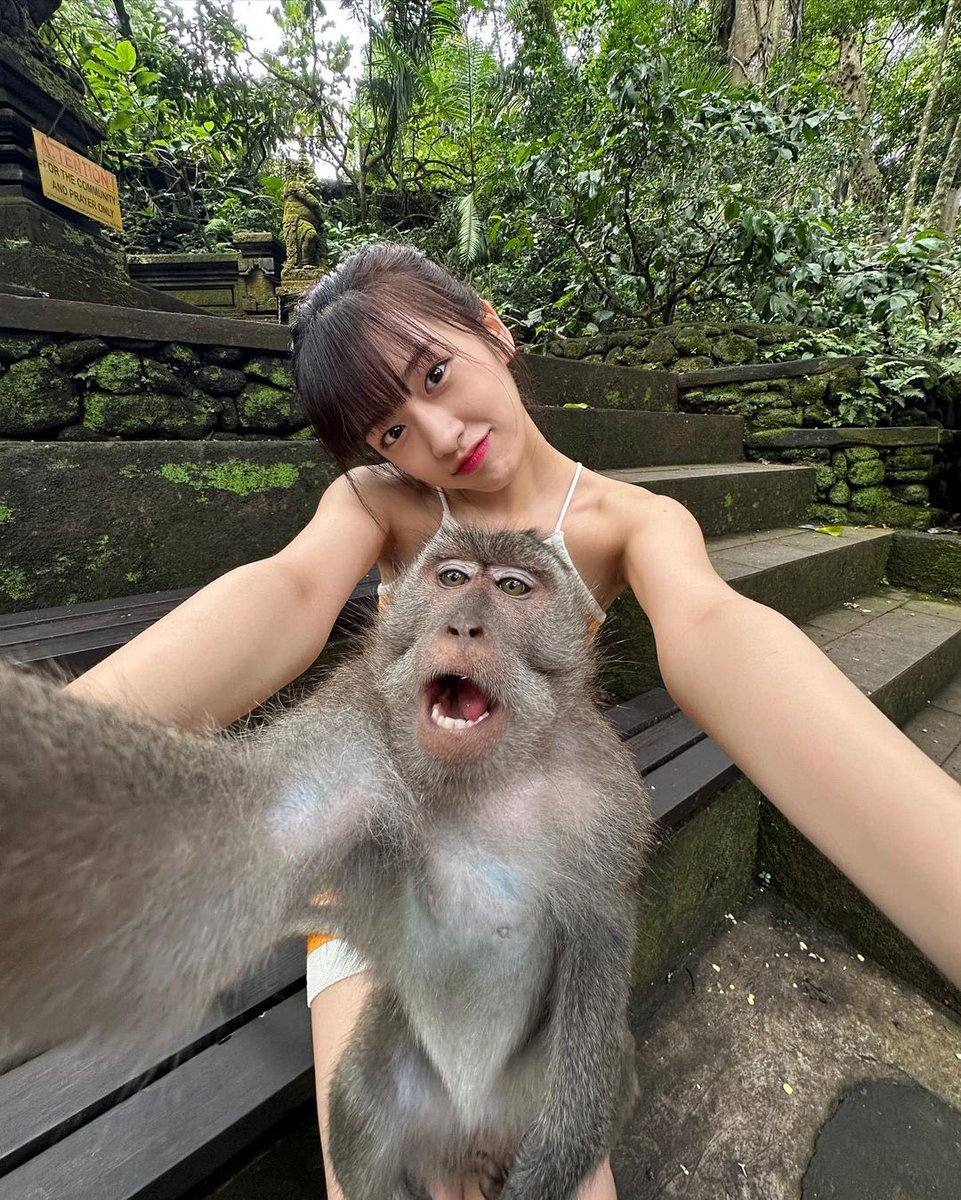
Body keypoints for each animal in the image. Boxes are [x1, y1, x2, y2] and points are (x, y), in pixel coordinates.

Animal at [0, 524, 653, 1200]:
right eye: (452, 578)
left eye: (513, 588)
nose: (463, 626)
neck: (478, 779)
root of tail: (469, 1123)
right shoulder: (347, 731)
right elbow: (232, 841)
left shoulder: (609, 797)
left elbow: (600, 932)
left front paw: (558, 1153)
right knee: (362, 1105)